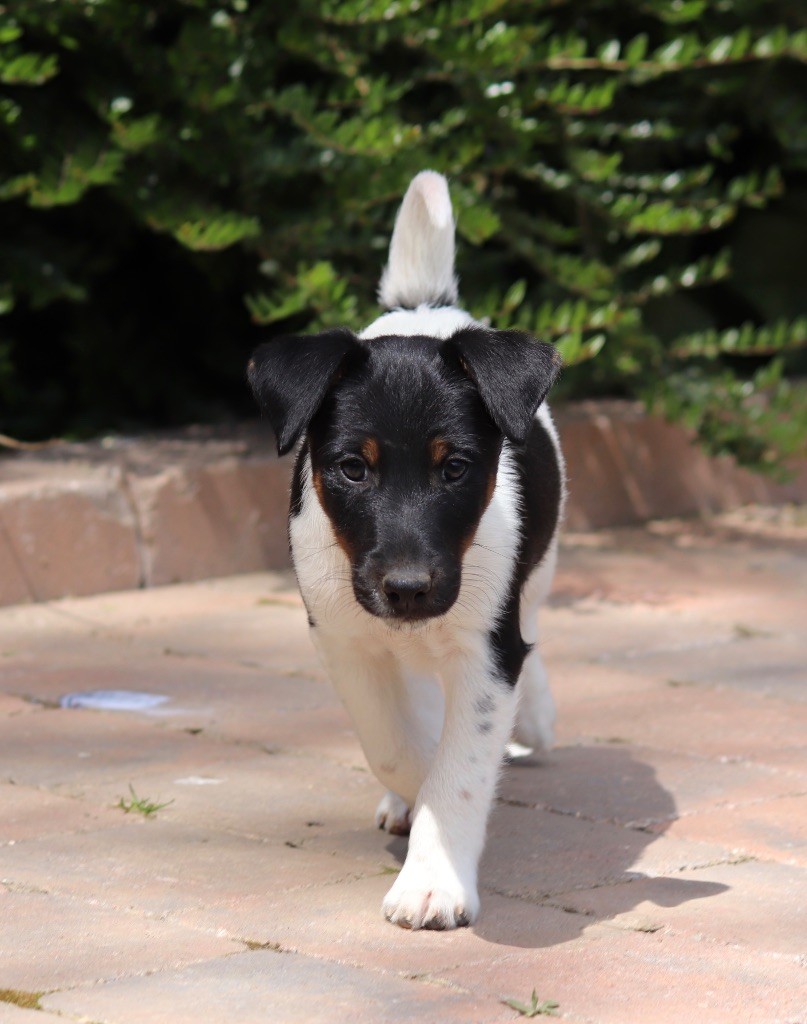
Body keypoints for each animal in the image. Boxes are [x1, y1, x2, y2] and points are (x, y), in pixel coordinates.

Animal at [248, 169, 565, 929]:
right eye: (350, 469)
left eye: (456, 468)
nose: (409, 588)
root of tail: (424, 306)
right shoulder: (342, 637)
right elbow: (395, 744)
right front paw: (414, 796)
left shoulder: (486, 649)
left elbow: (461, 767)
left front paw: (433, 879)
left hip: (537, 570)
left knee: (534, 615)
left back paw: (536, 716)